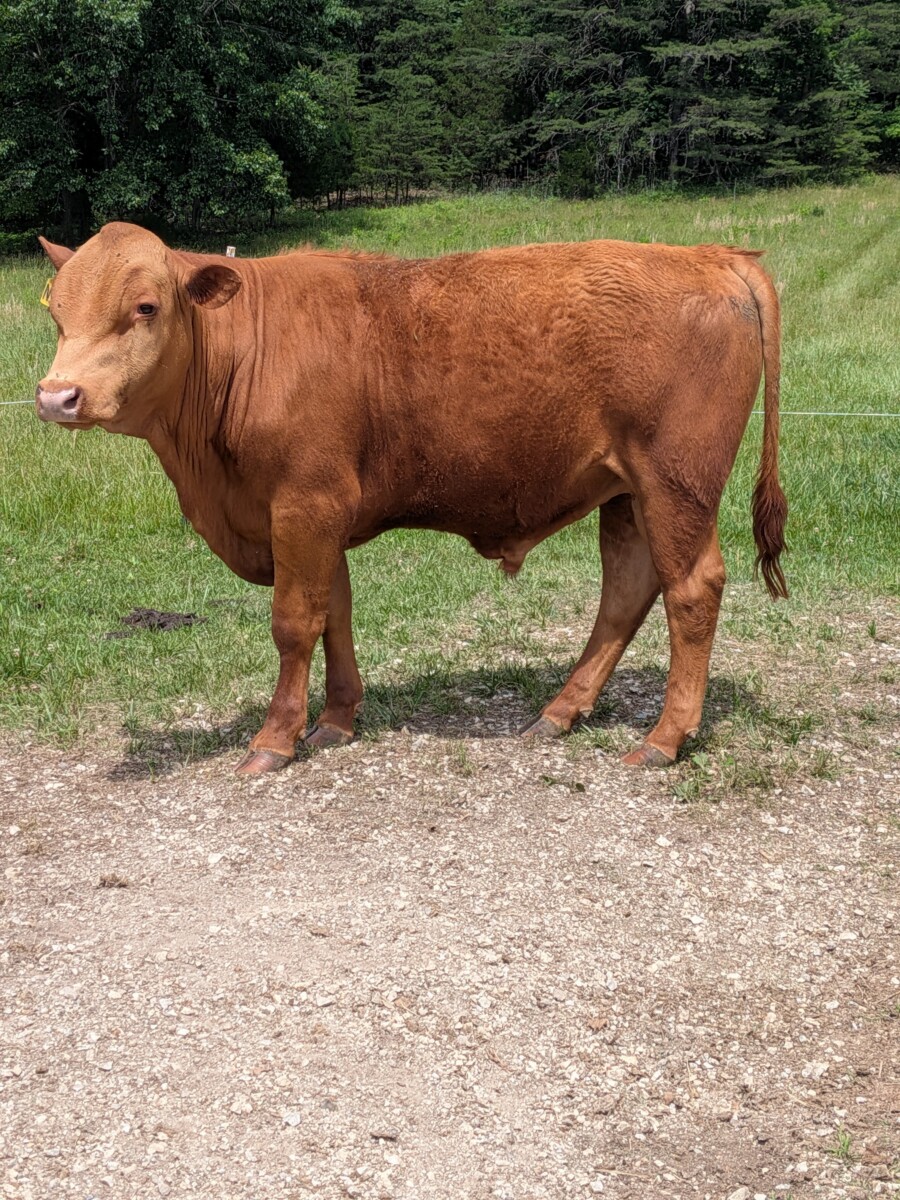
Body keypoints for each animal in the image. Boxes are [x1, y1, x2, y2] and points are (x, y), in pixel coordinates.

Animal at [36, 222, 787, 776]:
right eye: (57, 310)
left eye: (145, 306)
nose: (56, 396)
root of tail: (707, 256)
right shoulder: (320, 517)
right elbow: (334, 612)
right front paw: (335, 721)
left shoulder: (304, 505)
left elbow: (294, 622)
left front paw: (274, 740)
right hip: (627, 493)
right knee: (627, 591)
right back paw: (560, 713)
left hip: (676, 484)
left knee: (691, 590)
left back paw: (664, 737)